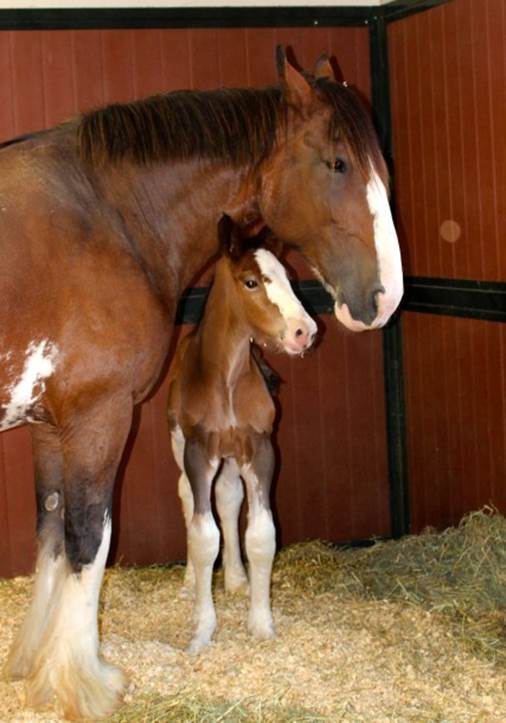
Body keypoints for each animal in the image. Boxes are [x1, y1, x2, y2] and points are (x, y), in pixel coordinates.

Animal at [0, 49, 404, 720]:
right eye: (338, 163)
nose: (385, 298)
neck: (105, 216)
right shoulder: (97, 418)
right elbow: (90, 537)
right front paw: (85, 682)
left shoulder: (51, 425)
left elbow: (52, 533)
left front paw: (37, 665)